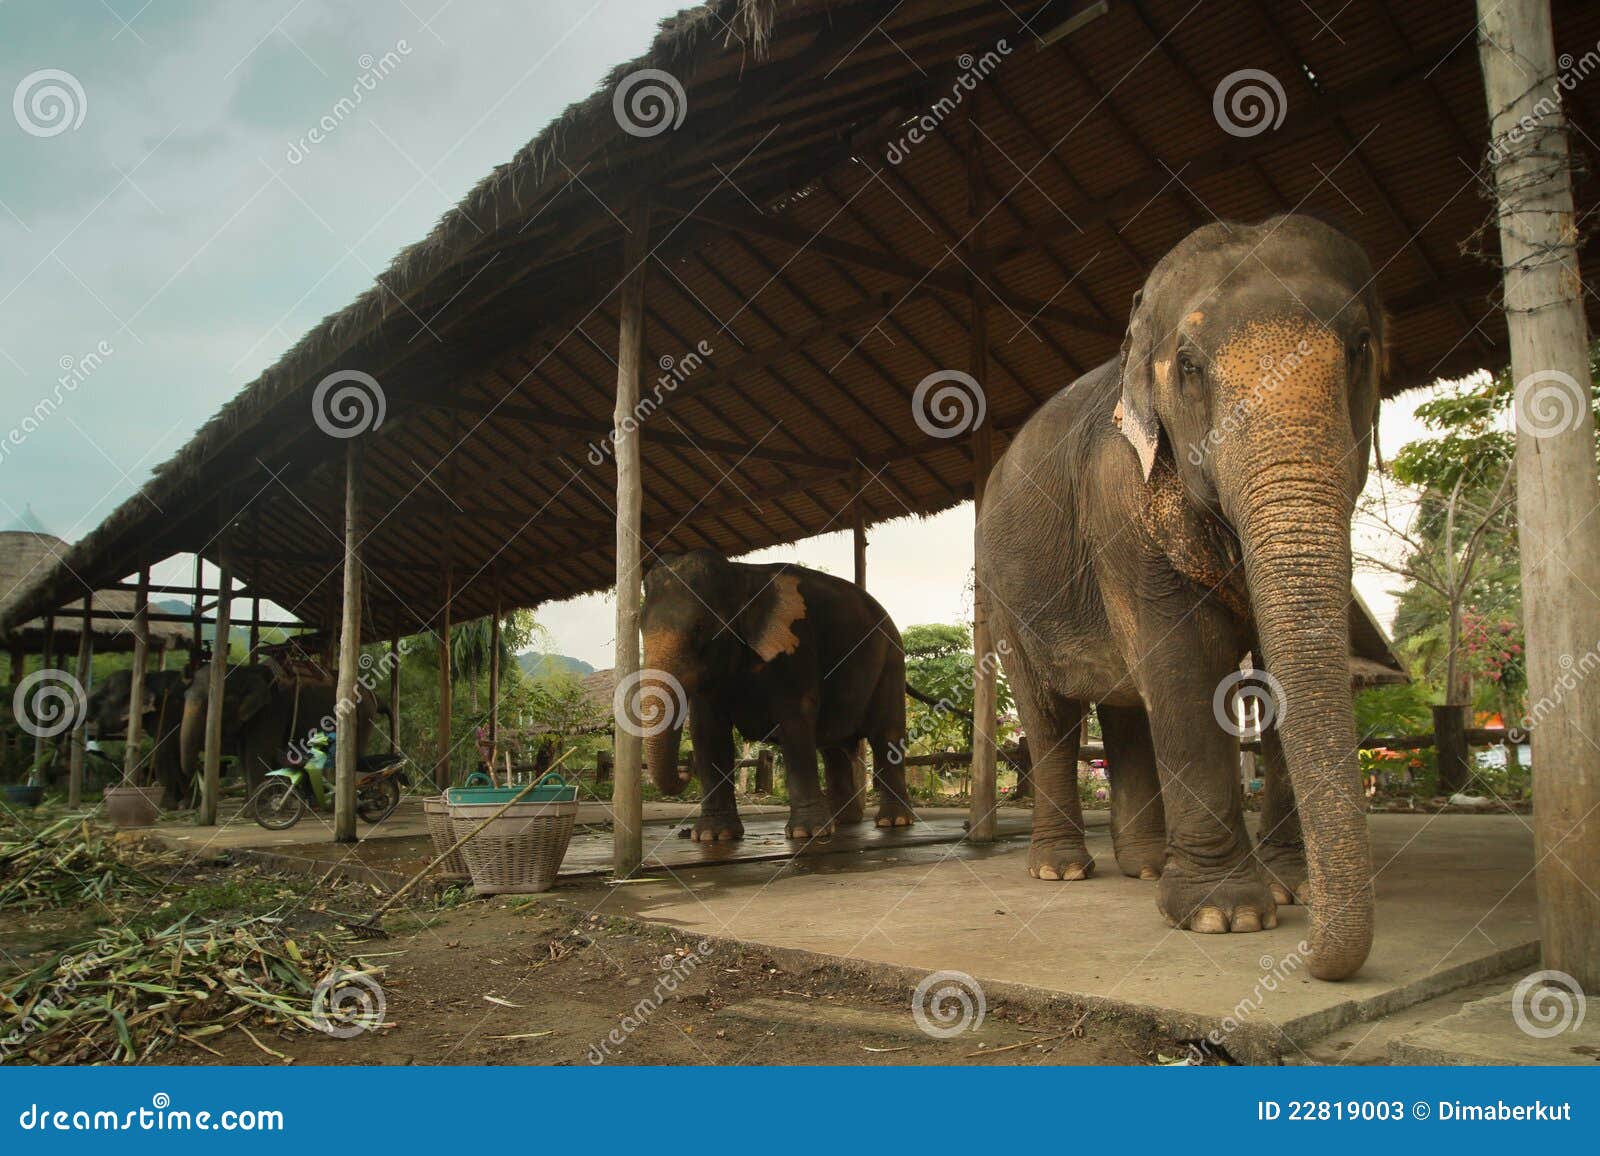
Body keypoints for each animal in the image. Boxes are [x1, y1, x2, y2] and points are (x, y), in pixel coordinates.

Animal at [178, 663, 383, 803]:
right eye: (185, 697)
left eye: (224, 701)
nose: (199, 765)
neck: (247, 671)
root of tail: (371, 693)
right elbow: (244, 755)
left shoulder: (272, 711)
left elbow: (257, 754)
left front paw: (255, 808)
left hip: (363, 714)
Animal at [637, 550, 915, 842]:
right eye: (640, 627)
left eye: (700, 627)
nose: (685, 771)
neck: (740, 576)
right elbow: (708, 731)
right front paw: (712, 836)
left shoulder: (797, 647)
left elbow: (795, 722)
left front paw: (807, 833)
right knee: (832, 745)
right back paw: (842, 820)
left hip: (891, 662)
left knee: (886, 735)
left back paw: (892, 821)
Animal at [977, 215, 1397, 981]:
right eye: (1192, 366)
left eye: (1359, 348)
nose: (1315, 959)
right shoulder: (1119, 497)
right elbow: (1183, 657)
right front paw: (1225, 916)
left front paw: (1291, 889)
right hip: (1004, 595)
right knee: (1051, 712)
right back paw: (1062, 871)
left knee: (1126, 707)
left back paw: (1143, 868)